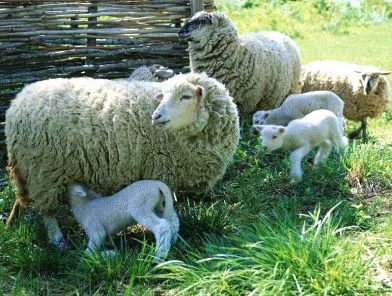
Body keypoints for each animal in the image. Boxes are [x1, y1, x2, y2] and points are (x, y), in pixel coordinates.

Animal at [5, 71, 239, 250]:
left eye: (186, 96)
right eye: (163, 96)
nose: (155, 116)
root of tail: (17, 101)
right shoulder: (161, 172)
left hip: (30, 169)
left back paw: (11, 223)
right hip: (44, 171)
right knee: (48, 212)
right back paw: (57, 240)